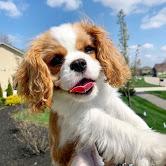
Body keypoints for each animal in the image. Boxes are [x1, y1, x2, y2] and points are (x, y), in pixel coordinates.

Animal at [14, 21, 165, 165]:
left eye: (88, 49)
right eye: (56, 60)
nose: (78, 63)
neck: (90, 99)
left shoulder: (110, 100)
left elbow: (129, 115)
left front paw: (146, 129)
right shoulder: (81, 114)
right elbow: (117, 128)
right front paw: (158, 146)